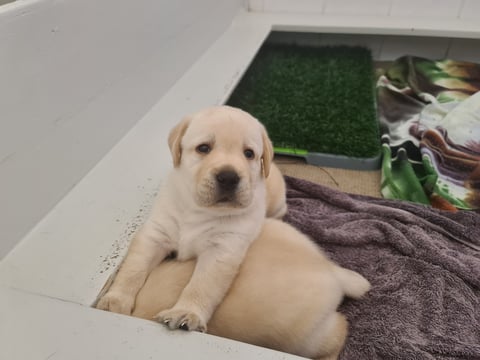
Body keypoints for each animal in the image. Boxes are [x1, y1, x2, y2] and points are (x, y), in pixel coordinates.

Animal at [96, 105, 286, 332]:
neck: (200, 209)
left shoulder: (221, 250)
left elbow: (201, 286)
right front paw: (115, 300)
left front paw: (186, 312)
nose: (229, 177)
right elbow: (133, 268)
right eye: (203, 148)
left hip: (277, 201)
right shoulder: (156, 234)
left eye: (249, 153)